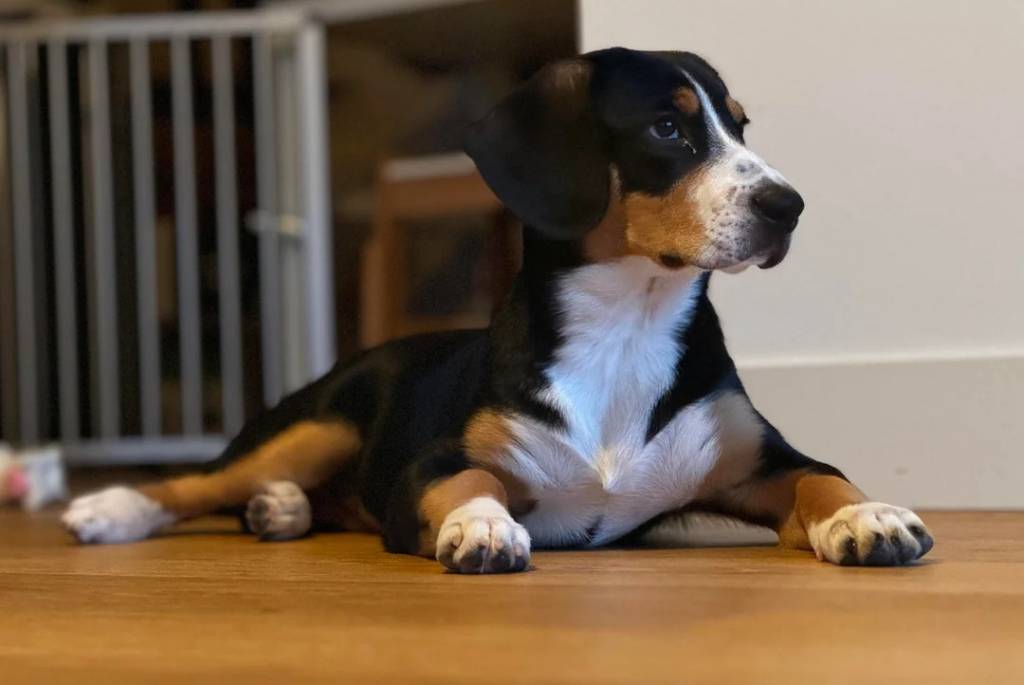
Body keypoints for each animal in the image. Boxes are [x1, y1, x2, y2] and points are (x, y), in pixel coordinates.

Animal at [63, 48, 933, 572]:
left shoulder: (762, 460)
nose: (788, 207)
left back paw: (279, 509)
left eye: (740, 126)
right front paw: (481, 523)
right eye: (668, 127)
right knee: (198, 482)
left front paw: (871, 516)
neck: (627, 326)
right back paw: (114, 507)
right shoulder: (430, 463)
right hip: (317, 424)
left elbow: (826, 478)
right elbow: (471, 477)